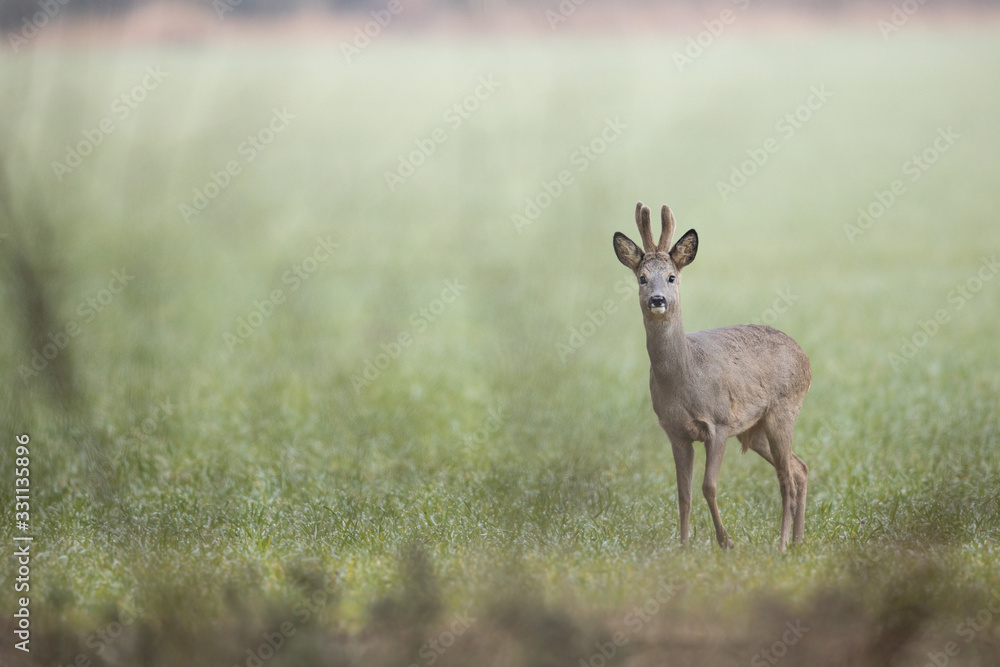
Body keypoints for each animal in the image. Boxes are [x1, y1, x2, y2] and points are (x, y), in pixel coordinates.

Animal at [613, 202, 811, 551]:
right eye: (642, 278)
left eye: (672, 277)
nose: (657, 300)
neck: (685, 376)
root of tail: (807, 359)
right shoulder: (675, 431)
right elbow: (683, 493)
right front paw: (683, 546)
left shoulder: (719, 423)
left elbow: (709, 486)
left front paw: (726, 541)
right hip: (755, 429)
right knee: (799, 468)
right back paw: (799, 541)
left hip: (784, 410)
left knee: (786, 477)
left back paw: (783, 544)